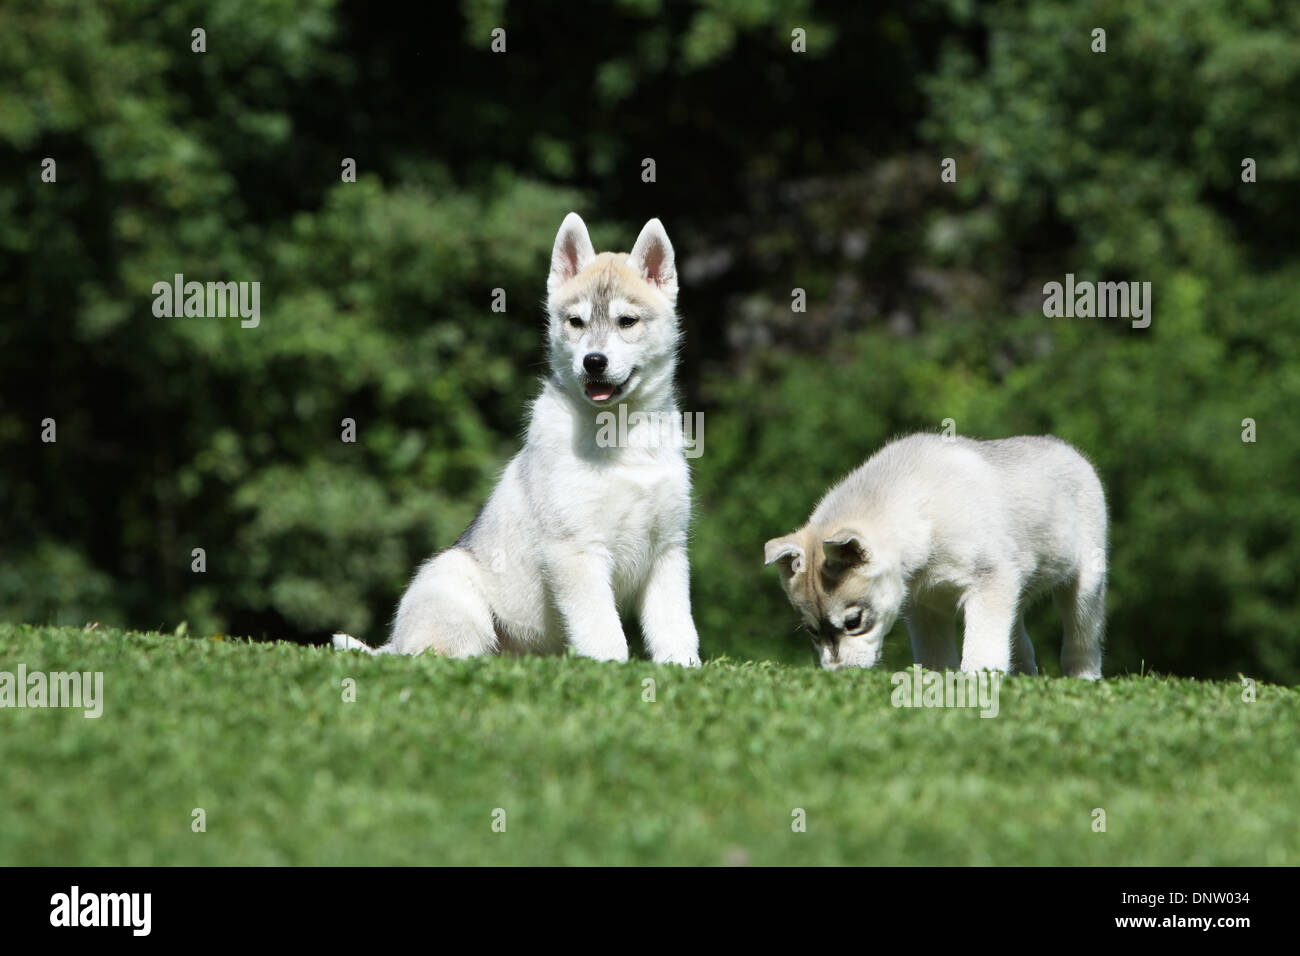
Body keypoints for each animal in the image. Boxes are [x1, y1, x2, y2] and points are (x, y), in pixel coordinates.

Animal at [335, 214, 702, 665]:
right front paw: (609, 668)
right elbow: (604, 632)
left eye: (627, 322)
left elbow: (675, 626)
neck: (619, 433)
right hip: (453, 585)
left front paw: (684, 668)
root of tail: (396, 641)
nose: (593, 362)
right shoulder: (575, 549)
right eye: (576, 322)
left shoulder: (668, 549)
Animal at [764, 434, 1112, 681]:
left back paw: (1084, 678)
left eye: (853, 622)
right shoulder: (924, 608)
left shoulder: (990, 580)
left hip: (1085, 588)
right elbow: (937, 657)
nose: (838, 677)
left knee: (1081, 638)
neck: (921, 510)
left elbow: (982, 647)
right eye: (812, 632)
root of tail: (1067, 448)